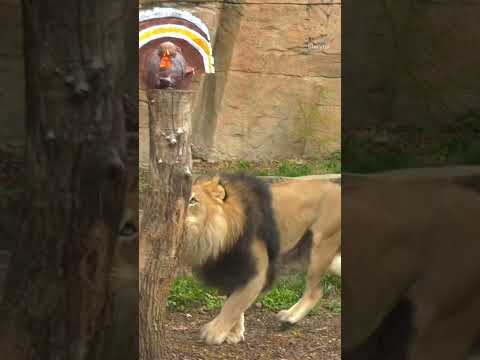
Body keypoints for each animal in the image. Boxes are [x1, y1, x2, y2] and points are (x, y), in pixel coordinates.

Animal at [184, 174, 342, 346]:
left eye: (193, 200)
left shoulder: (256, 272)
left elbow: (233, 305)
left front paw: (214, 332)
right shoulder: (233, 269)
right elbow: (233, 302)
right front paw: (235, 334)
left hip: (321, 245)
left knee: (315, 291)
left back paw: (290, 318)